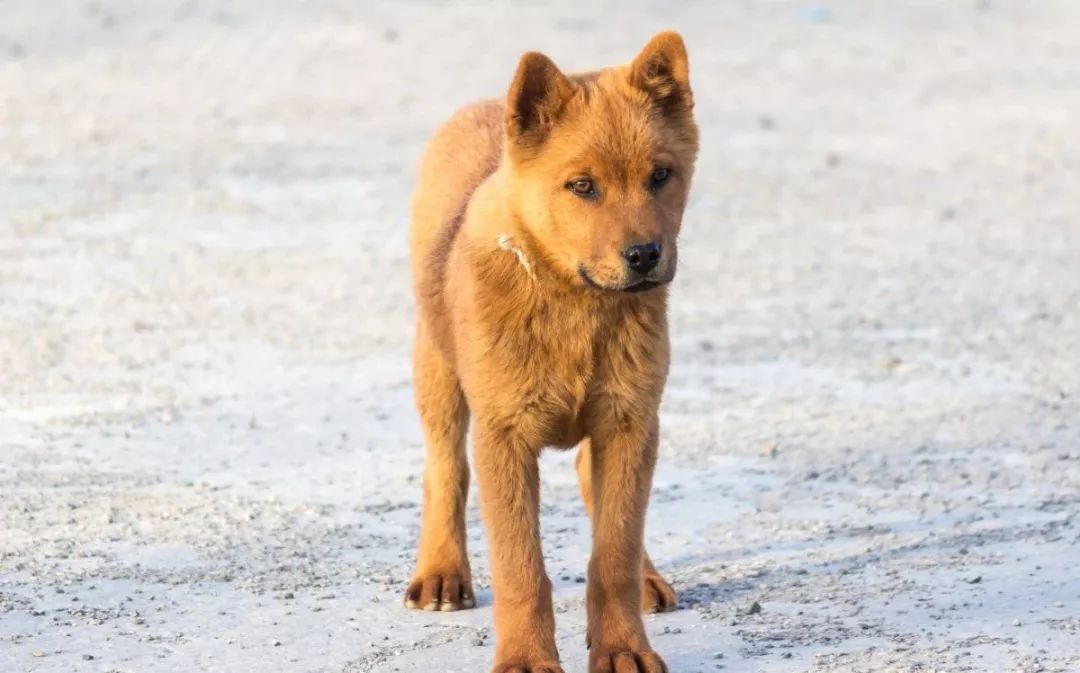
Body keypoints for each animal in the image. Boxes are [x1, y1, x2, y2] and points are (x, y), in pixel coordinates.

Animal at [406, 34, 699, 673]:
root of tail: (487, 105)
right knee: (444, 467)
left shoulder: (629, 422)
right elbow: (520, 569)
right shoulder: (505, 437)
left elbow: (613, 554)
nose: (645, 255)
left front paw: (623, 647)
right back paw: (441, 573)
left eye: (661, 175)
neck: (575, 306)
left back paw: (648, 578)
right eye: (582, 186)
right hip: (435, 367)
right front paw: (524, 659)